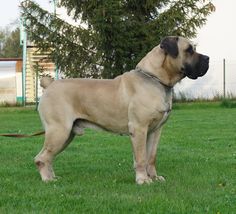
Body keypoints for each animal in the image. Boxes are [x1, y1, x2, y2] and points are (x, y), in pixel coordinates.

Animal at [35, 36, 208, 184]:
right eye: (189, 50)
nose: (207, 58)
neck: (155, 78)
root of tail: (50, 84)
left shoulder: (155, 130)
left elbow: (151, 157)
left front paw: (154, 177)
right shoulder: (139, 129)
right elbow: (141, 157)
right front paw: (143, 180)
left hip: (66, 135)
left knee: (48, 157)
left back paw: (53, 178)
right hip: (59, 131)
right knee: (41, 158)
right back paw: (47, 180)